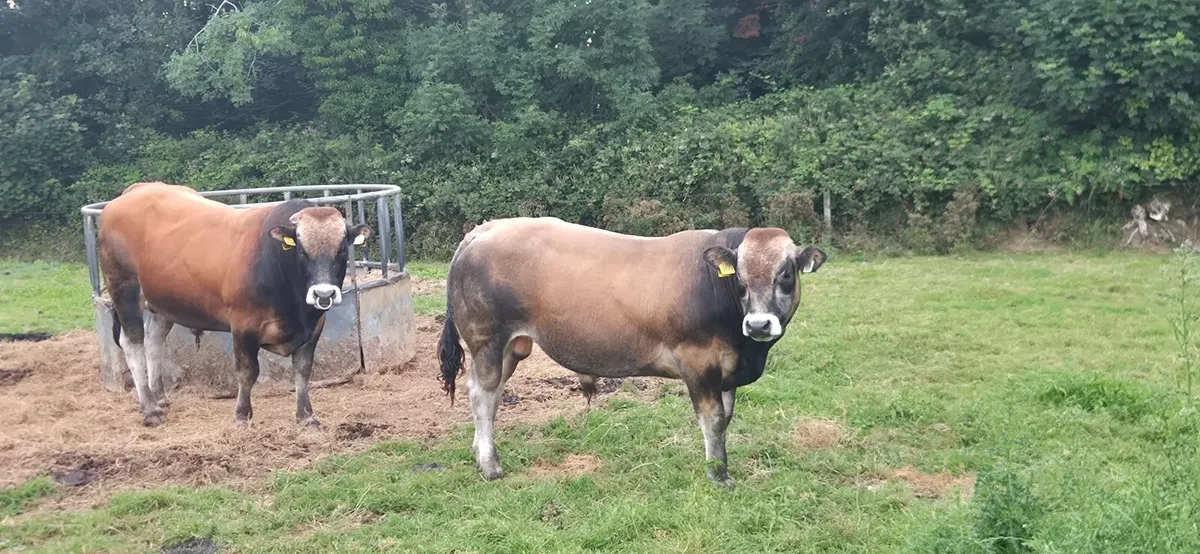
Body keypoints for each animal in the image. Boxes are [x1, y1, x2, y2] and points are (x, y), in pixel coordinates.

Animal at [97, 182, 370, 427]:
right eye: (301, 250)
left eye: (341, 249)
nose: (323, 293)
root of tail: (132, 192)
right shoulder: (243, 326)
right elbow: (247, 372)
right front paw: (242, 415)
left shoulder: (314, 328)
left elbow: (303, 370)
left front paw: (306, 416)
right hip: (125, 291)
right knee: (133, 344)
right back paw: (150, 409)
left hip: (162, 303)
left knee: (154, 341)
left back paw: (159, 397)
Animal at [437, 217, 826, 489]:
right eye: (741, 280)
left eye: (786, 274)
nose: (759, 325)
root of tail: (485, 229)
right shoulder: (698, 362)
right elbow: (713, 419)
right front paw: (718, 476)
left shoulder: (727, 370)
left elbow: (727, 418)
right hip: (487, 340)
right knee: (482, 395)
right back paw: (491, 466)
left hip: (509, 348)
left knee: (489, 395)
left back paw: (480, 455)